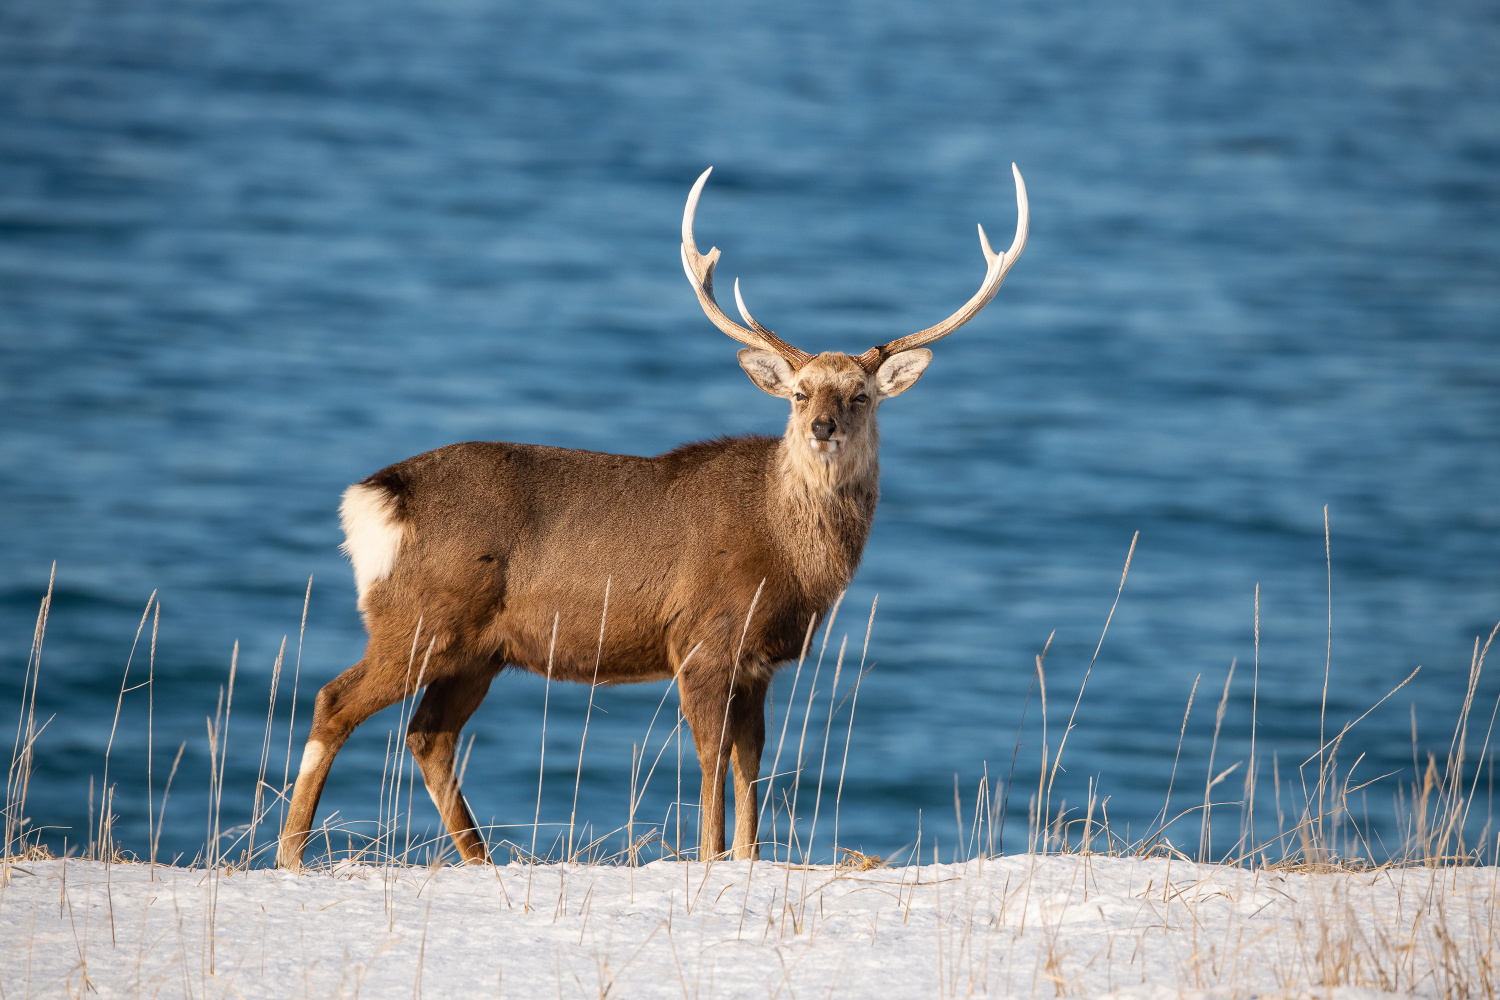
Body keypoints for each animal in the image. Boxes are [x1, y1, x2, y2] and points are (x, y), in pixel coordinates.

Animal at [279, 164, 1032, 869]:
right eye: (799, 392)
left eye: (862, 395)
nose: (822, 427)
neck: (787, 552)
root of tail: (374, 496)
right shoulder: (704, 638)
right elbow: (711, 760)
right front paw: (710, 856)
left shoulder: (758, 662)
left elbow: (751, 765)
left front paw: (746, 858)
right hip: (421, 616)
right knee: (335, 701)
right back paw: (290, 854)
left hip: (478, 649)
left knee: (429, 733)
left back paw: (477, 859)